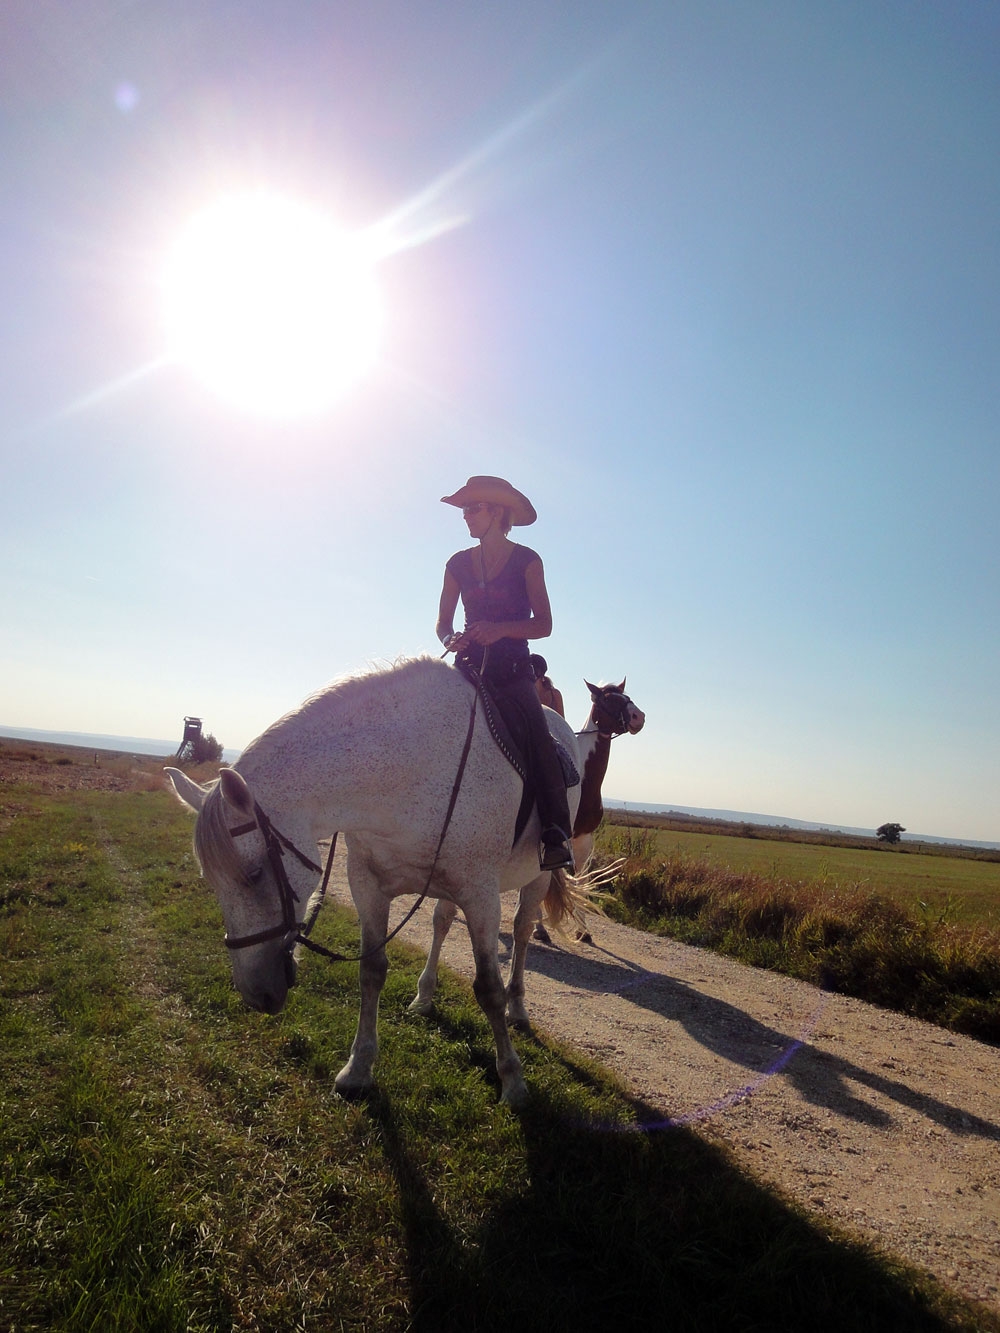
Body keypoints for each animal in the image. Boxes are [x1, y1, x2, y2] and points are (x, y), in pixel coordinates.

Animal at [164, 655, 586, 1103]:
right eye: (212, 880)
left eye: (255, 872)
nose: (257, 994)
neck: (409, 773)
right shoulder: (368, 886)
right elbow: (371, 971)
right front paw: (358, 1068)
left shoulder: (482, 897)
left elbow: (488, 987)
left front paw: (513, 1080)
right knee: (441, 922)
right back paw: (424, 996)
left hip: (536, 879)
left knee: (522, 932)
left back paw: (518, 1008)